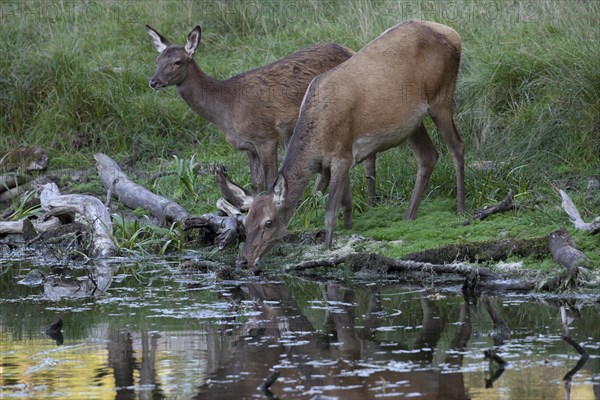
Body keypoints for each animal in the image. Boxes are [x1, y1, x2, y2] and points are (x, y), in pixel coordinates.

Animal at [146, 24, 380, 196]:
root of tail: (351, 50)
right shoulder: (248, 146)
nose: (153, 81)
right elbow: (255, 183)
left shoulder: (267, 137)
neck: (226, 108)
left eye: (178, 62)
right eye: (157, 60)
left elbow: (270, 182)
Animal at [238, 19, 464, 268]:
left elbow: (330, 213)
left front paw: (327, 251)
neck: (317, 140)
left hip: (441, 98)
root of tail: (453, 34)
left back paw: (461, 209)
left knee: (457, 147)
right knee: (428, 156)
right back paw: (408, 217)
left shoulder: (341, 155)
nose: (243, 260)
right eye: (245, 223)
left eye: (268, 222)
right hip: (413, 123)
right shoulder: (338, 161)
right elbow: (346, 206)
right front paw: (347, 234)